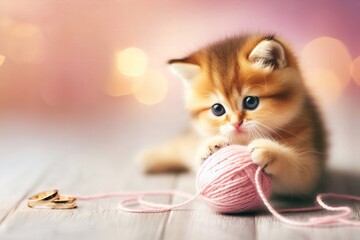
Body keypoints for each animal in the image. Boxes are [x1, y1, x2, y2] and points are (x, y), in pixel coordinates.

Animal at [139, 34, 328, 198]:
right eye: (217, 109)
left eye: (251, 102)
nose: (236, 123)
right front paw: (209, 146)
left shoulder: (309, 168)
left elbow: (299, 174)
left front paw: (270, 152)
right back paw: (149, 158)